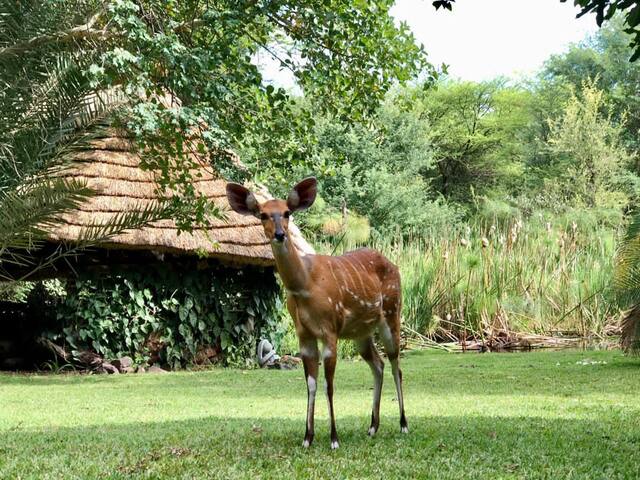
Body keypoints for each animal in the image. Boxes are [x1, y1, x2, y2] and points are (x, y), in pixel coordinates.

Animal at [228, 177, 408, 450]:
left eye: (287, 213)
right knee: (378, 364)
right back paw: (372, 427)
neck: (305, 285)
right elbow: (311, 385)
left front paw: (334, 439)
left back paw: (403, 424)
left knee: (396, 364)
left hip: (391, 313)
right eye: (263, 215)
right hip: (361, 332)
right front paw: (307, 437)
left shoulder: (330, 330)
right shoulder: (304, 335)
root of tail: (394, 265)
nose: (280, 234)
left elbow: (328, 385)